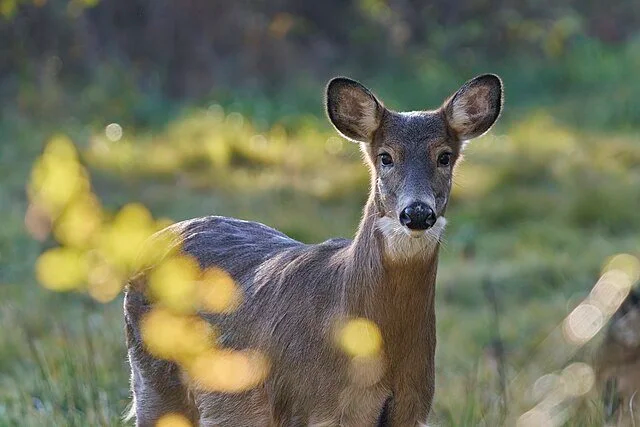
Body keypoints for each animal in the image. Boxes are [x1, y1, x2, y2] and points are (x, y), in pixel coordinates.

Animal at [124, 74, 503, 426]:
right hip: (154, 382)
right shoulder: (304, 404)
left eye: (444, 157)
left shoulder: (413, 406)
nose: (417, 213)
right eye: (385, 157)